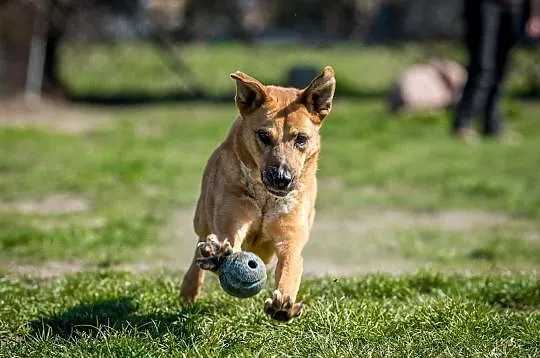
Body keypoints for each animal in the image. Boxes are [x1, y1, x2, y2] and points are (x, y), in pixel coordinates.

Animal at [179, 65, 336, 322]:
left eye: (301, 139)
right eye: (263, 136)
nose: (282, 178)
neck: (266, 200)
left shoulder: (290, 237)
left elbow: (290, 266)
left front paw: (283, 305)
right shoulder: (233, 217)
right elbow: (228, 241)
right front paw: (216, 256)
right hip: (202, 216)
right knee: (199, 245)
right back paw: (191, 285)